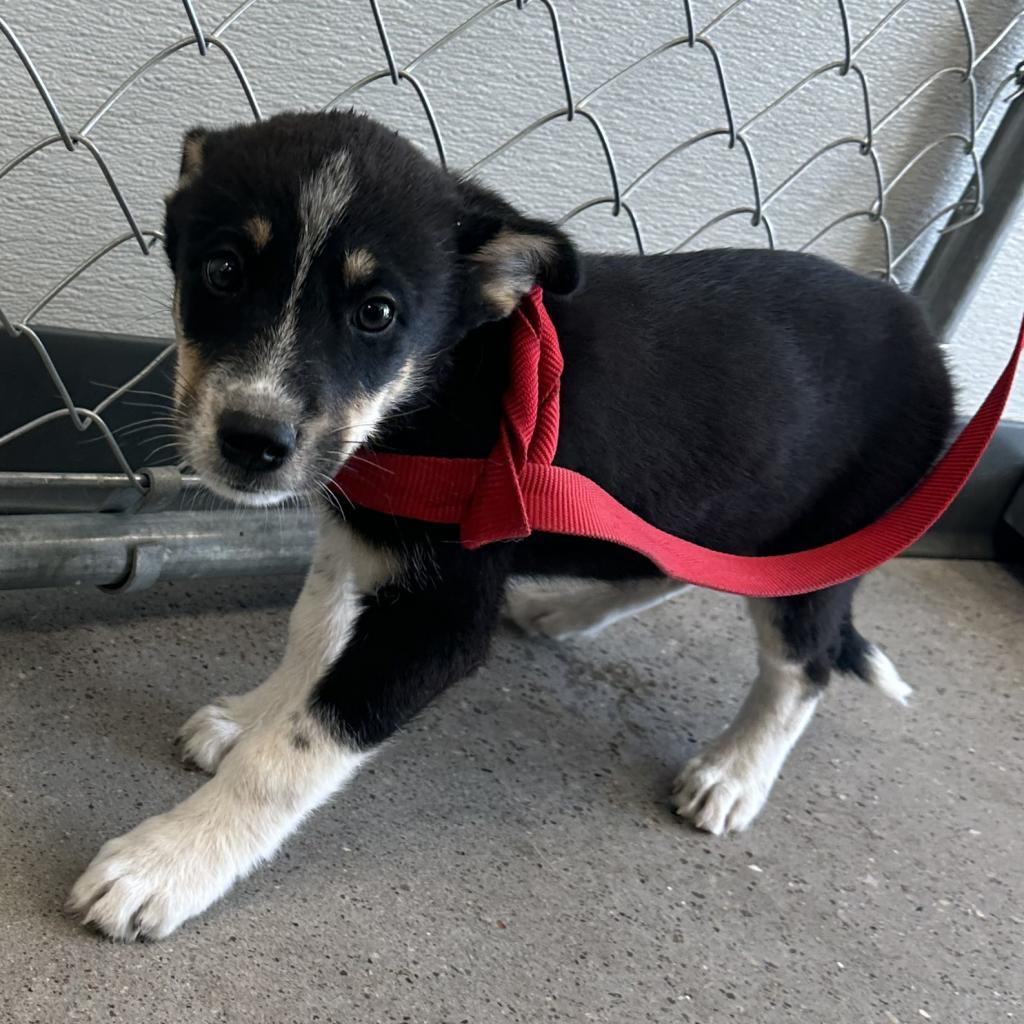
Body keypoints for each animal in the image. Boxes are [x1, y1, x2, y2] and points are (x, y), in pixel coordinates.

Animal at [70, 110, 950, 937]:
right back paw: (566, 609)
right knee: (664, 566)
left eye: (377, 313)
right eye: (222, 271)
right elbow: (311, 638)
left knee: (804, 665)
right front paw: (253, 715)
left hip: (825, 534)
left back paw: (734, 774)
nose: (253, 440)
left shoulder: (441, 620)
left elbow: (296, 751)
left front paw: (171, 860)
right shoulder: (360, 540)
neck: (444, 390)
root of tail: (934, 350)